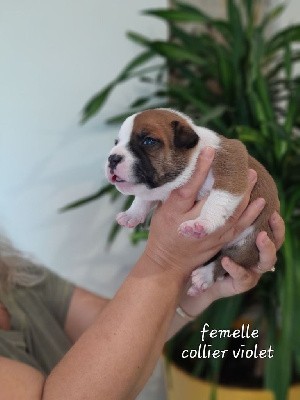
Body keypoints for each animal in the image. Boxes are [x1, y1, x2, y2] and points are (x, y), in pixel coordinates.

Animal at [105, 108, 278, 296]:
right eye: (116, 142)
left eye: (148, 141)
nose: (112, 158)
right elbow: (143, 198)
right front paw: (132, 214)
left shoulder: (230, 163)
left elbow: (218, 198)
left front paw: (203, 222)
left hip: (251, 243)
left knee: (227, 260)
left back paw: (205, 275)